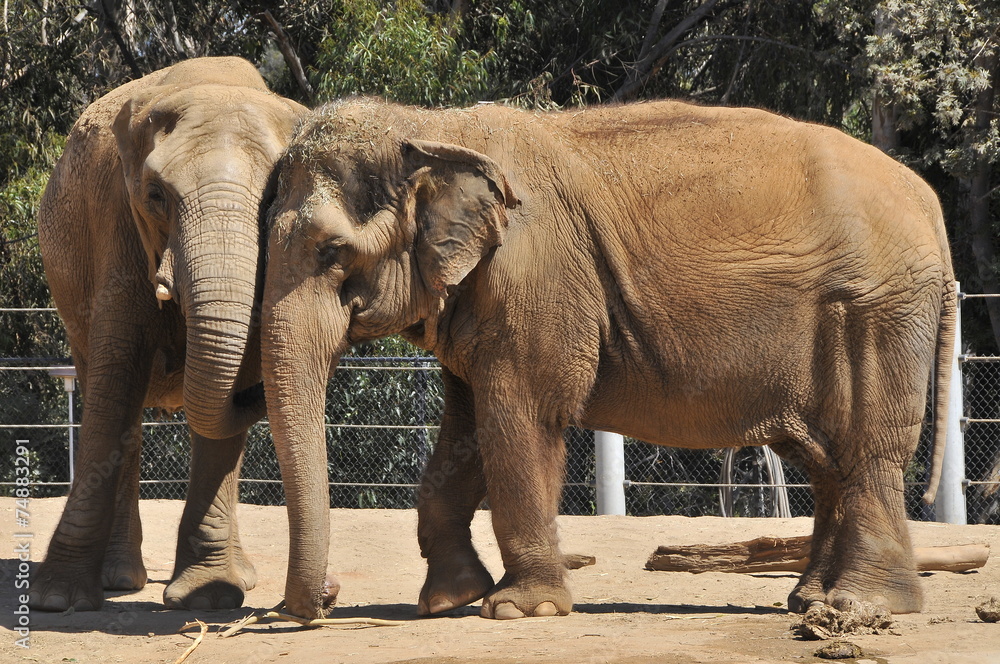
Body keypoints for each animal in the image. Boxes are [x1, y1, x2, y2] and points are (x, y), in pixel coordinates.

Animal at [31, 56, 305, 612]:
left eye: (273, 198)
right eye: (156, 197)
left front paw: (208, 597)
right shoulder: (117, 219)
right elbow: (117, 379)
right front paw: (58, 601)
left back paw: (240, 578)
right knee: (115, 401)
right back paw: (119, 580)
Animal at [261, 97, 956, 620]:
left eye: (331, 252)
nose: (324, 599)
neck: (435, 128)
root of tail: (930, 205)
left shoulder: (536, 281)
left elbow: (520, 414)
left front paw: (517, 610)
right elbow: (464, 430)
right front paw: (449, 600)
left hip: (876, 309)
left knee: (866, 448)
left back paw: (863, 606)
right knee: (824, 457)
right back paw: (809, 600)